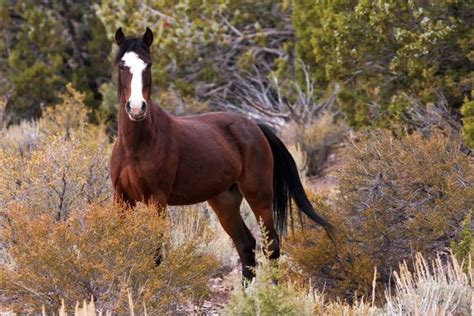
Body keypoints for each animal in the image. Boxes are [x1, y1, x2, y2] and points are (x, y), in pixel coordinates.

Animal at [110, 26, 334, 278]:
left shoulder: (157, 200)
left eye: (148, 65)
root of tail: (254, 126)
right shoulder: (122, 198)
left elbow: (155, 253)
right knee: (246, 245)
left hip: (259, 196)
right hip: (224, 201)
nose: (136, 108)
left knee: (271, 246)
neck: (136, 146)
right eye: (122, 65)